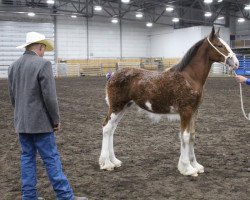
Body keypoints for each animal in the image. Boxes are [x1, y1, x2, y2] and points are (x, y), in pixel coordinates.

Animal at [98, 27, 239, 177]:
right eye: (220, 45)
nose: (236, 63)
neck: (190, 78)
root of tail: (113, 75)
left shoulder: (194, 112)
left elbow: (192, 136)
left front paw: (195, 165)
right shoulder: (185, 112)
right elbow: (185, 136)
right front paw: (187, 168)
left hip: (123, 107)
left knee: (112, 129)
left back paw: (114, 161)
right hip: (116, 107)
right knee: (107, 128)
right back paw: (106, 164)